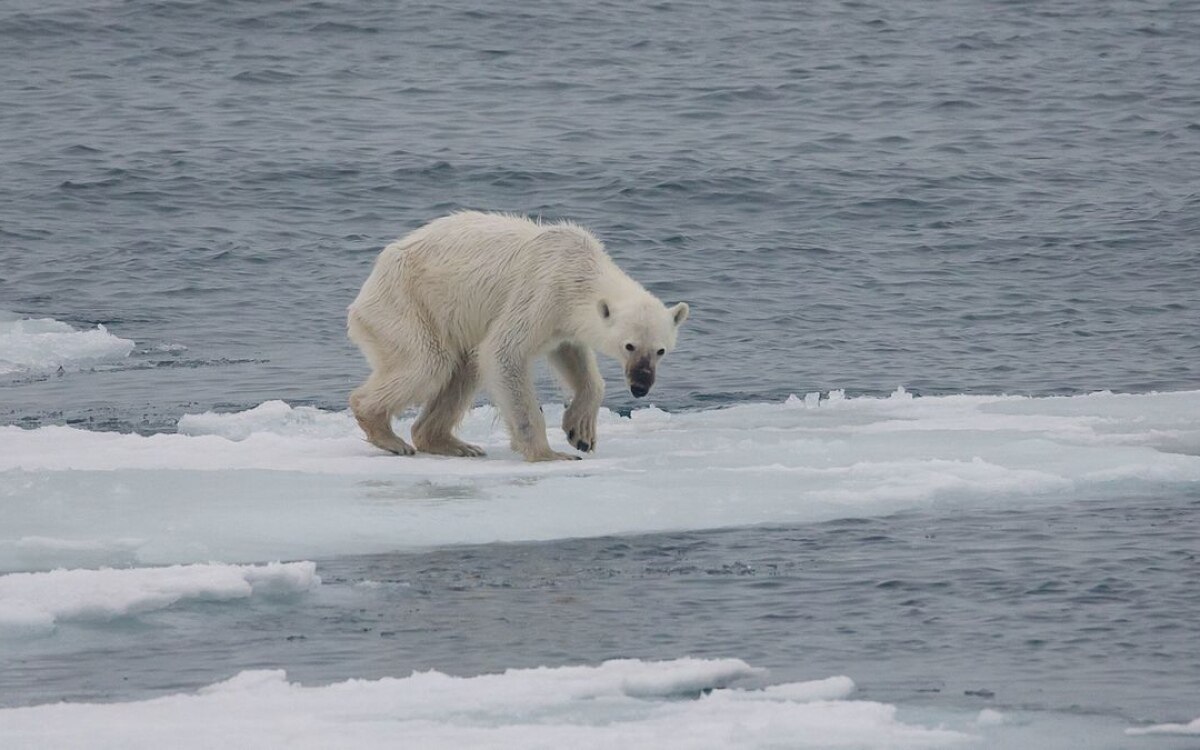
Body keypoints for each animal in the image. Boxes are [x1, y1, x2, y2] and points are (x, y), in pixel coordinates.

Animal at [343, 211, 691, 463]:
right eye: (629, 345)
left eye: (660, 350)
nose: (640, 386)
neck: (579, 269)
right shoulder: (542, 291)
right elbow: (503, 352)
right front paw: (550, 453)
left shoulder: (562, 320)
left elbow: (573, 356)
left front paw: (581, 432)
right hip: (406, 304)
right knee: (429, 363)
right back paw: (388, 434)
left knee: (463, 369)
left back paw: (453, 444)